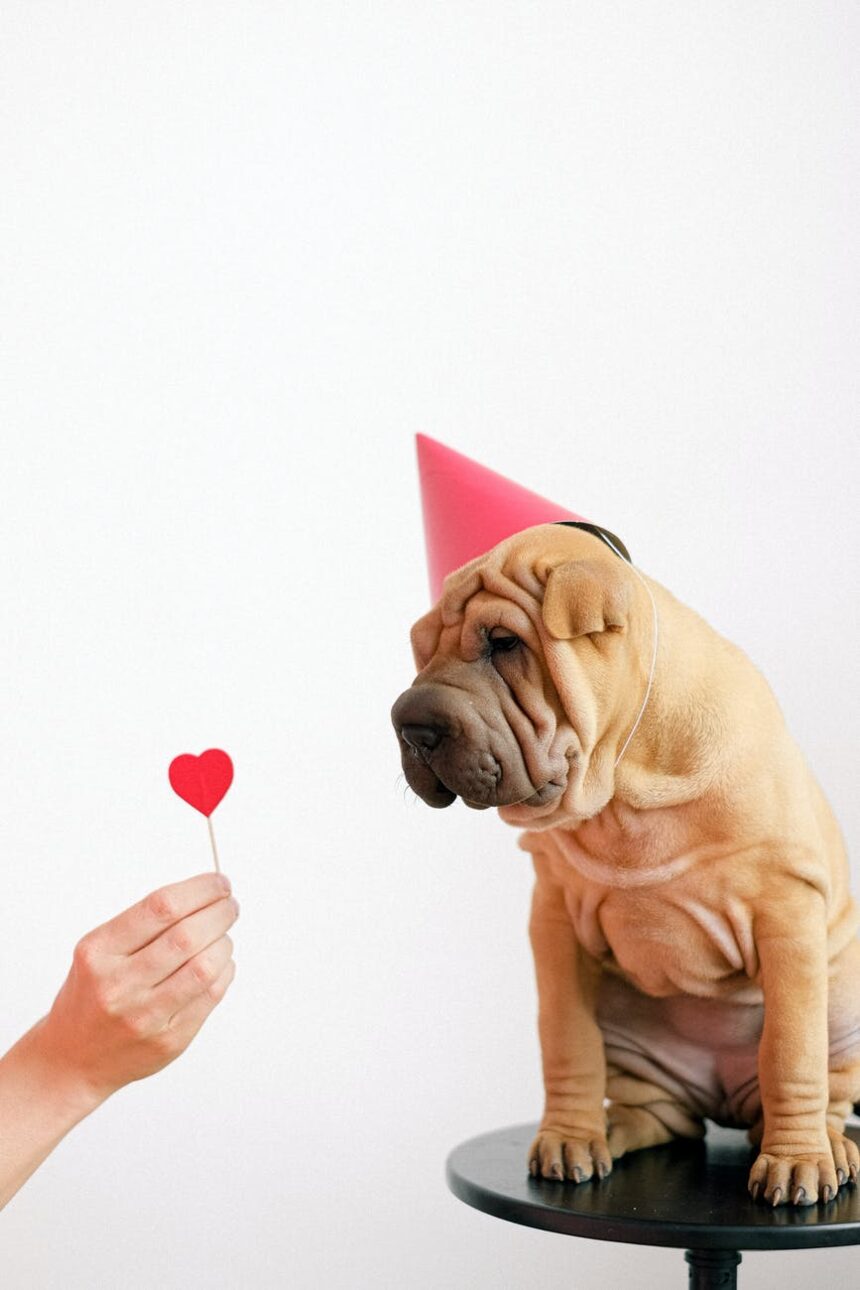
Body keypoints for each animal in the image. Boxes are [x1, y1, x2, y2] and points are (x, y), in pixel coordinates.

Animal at [391, 518, 860, 1202]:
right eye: (423, 649)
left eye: (505, 643)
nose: (409, 724)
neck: (624, 783)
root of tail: (721, 1098)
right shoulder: (554, 921)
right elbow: (566, 1040)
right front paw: (568, 1137)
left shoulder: (787, 912)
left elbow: (791, 1051)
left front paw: (796, 1161)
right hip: (631, 1038)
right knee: (655, 1110)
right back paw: (610, 1131)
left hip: (844, 1009)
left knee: (825, 1085)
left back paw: (828, 1144)